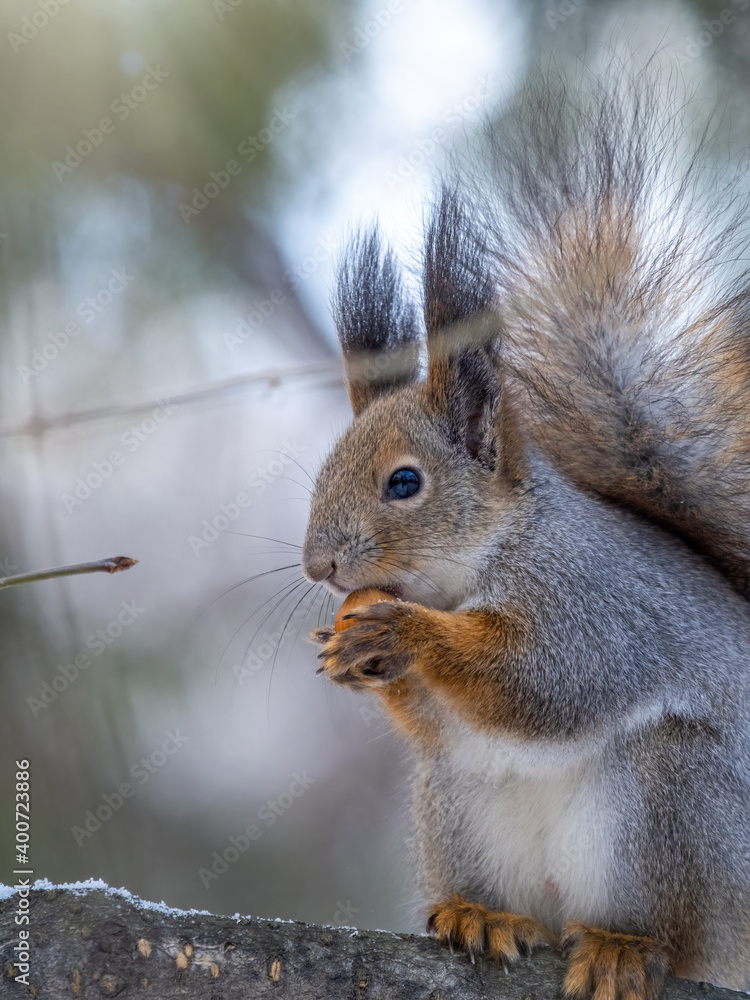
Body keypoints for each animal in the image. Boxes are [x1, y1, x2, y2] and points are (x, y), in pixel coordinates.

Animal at [301, 73, 750, 999]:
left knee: (677, 936)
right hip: (457, 805)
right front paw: (348, 648)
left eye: (405, 483)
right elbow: (434, 717)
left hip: (676, 801)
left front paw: (405, 634)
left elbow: (544, 679)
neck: (467, 571)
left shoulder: (590, 601)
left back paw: (623, 946)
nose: (318, 565)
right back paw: (483, 916)